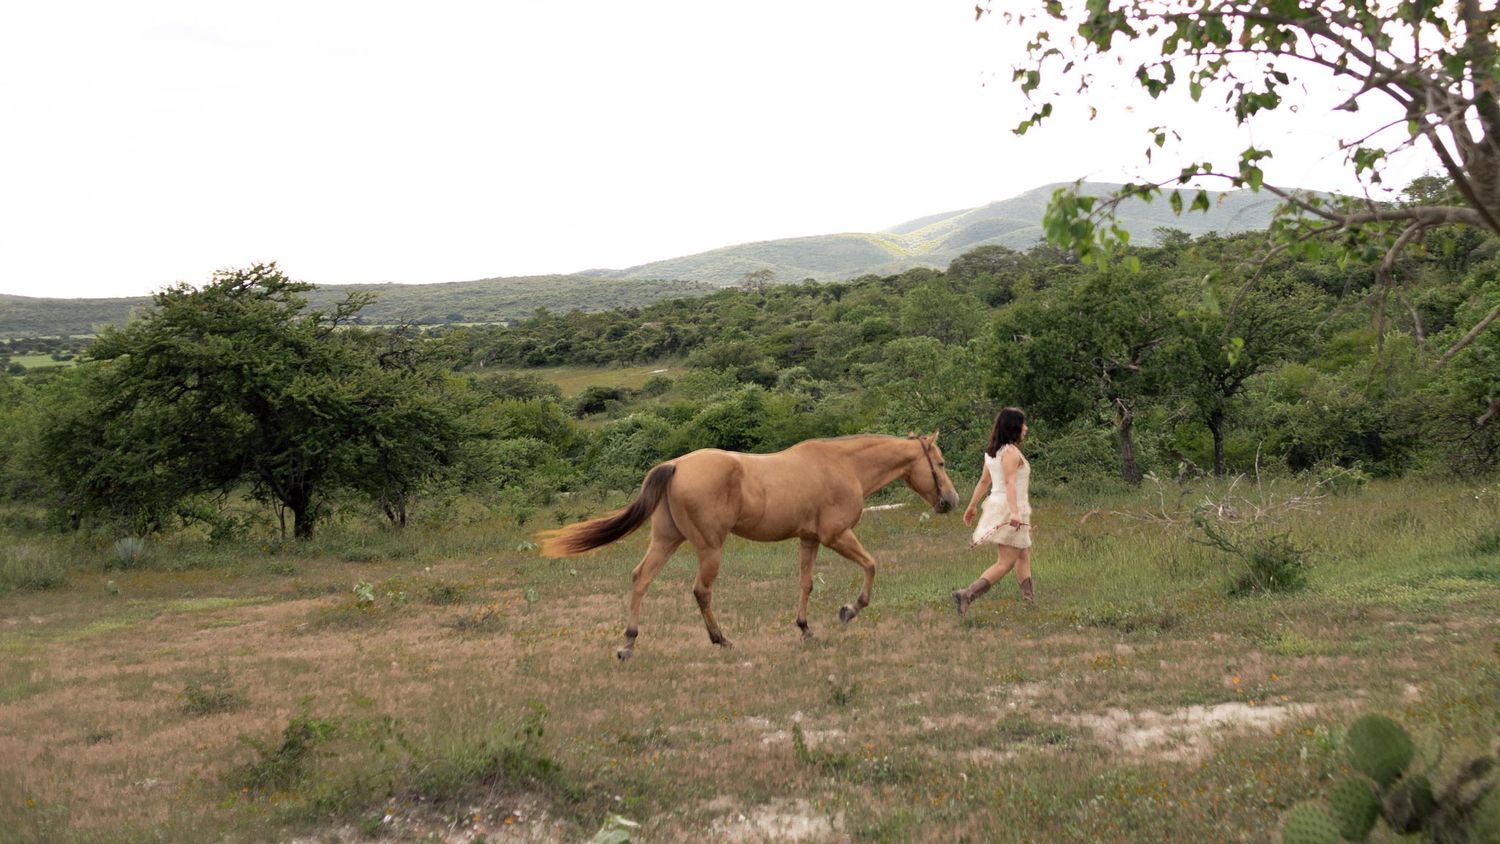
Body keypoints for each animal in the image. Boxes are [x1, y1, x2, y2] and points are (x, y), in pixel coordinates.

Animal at [538, 432, 960, 659]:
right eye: (939, 463)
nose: (951, 500)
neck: (844, 466)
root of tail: (676, 465)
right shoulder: (836, 536)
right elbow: (871, 566)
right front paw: (848, 611)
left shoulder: (809, 540)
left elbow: (805, 583)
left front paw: (805, 628)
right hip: (709, 548)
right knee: (701, 590)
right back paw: (720, 639)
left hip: (666, 540)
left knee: (641, 579)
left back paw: (629, 643)